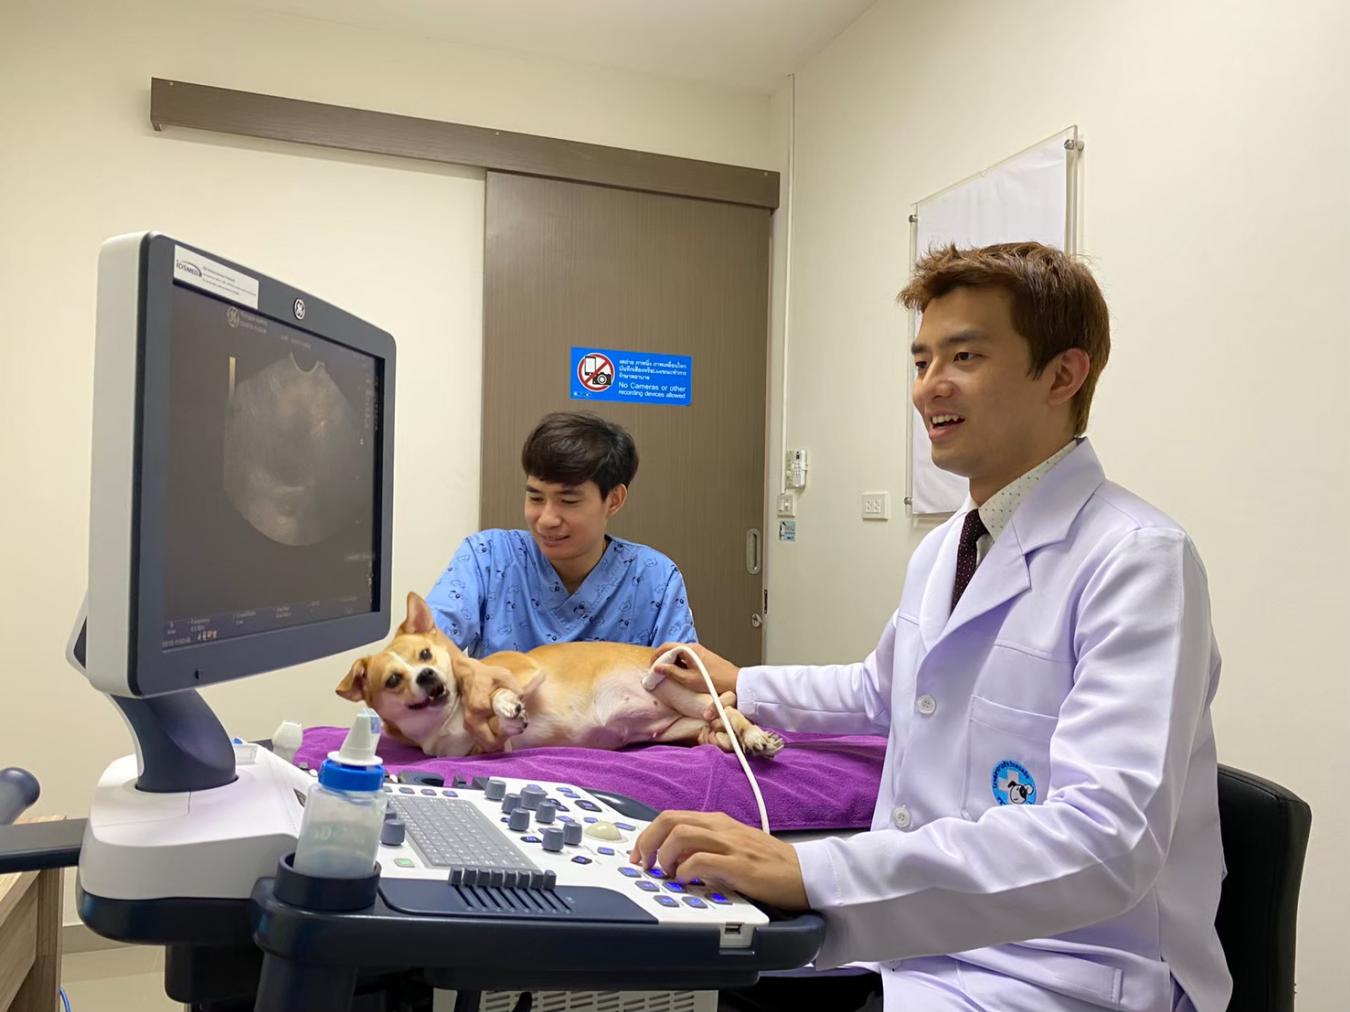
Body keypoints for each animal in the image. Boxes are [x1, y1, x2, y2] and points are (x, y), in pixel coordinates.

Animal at [336, 592, 785, 759]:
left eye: (426, 654)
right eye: (393, 680)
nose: (428, 676)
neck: (446, 720)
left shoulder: (523, 670)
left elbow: (500, 688)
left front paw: (504, 702)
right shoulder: (482, 748)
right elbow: (498, 738)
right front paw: (506, 720)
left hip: (678, 685)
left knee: (730, 710)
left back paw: (755, 736)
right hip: (680, 725)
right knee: (713, 722)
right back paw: (729, 739)